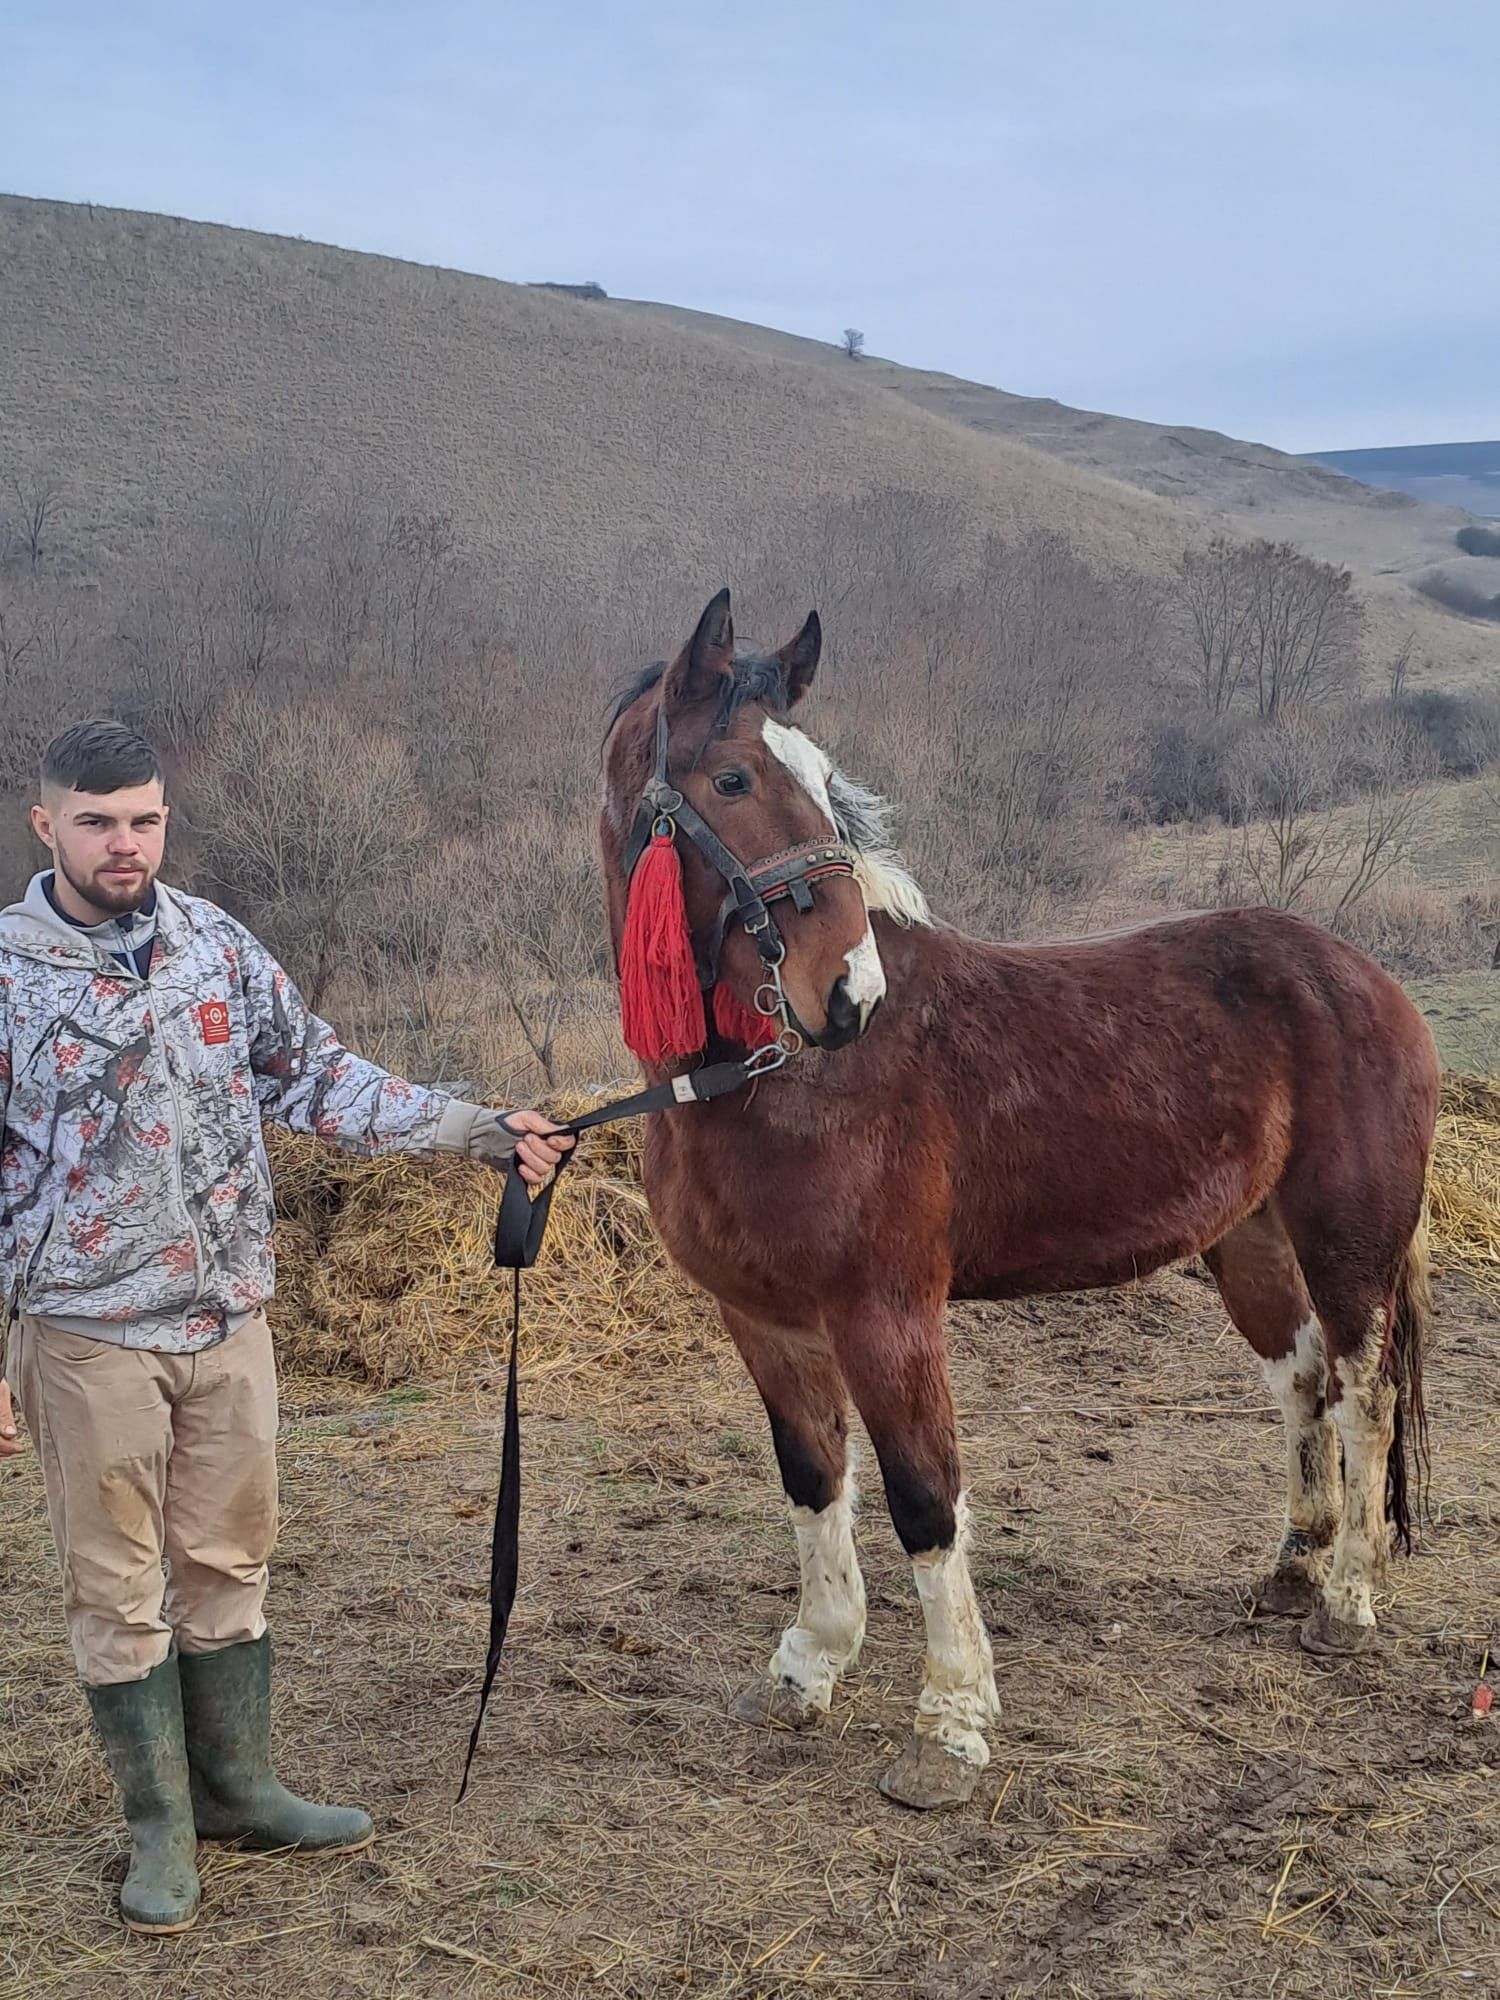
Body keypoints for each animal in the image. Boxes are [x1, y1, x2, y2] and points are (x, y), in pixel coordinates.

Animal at [600, 588, 1448, 1816]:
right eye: (732, 778)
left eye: (821, 781)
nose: (847, 991)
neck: (777, 1083)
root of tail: (1371, 979)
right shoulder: (762, 1320)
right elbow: (813, 1481)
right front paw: (808, 1666)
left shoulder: (887, 1316)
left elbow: (925, 1498)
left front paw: (949, 1725)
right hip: (1246, 1241)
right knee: (1299, 1378)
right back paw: (1292, 1568)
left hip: (1348, 1242)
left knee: (1363, 1395)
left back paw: (1344, 1603)